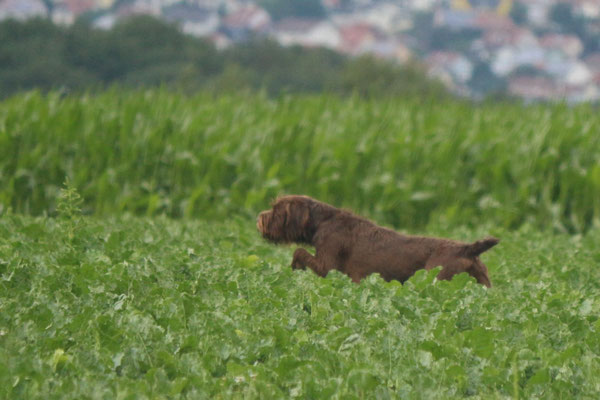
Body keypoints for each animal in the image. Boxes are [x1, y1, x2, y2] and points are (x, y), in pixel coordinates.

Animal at [255, 195, 500, 286]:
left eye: (276, 210)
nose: (259, 218)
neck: (322, 221)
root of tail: (468, 249)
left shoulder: (327, 265)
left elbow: (299, 252)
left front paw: (295, 267)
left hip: (438, 278)